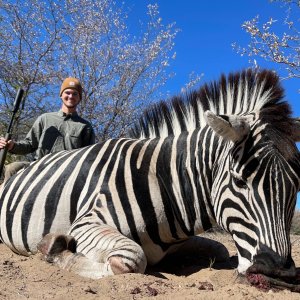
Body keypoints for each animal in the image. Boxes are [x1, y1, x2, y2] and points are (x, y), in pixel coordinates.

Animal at [0, 69, 298, 280]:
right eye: (239, 181)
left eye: (296, 188)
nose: (276, 273)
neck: (166, 184)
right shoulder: (87, 222)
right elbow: (130, 259)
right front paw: (55, 249)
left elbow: (221, 249)